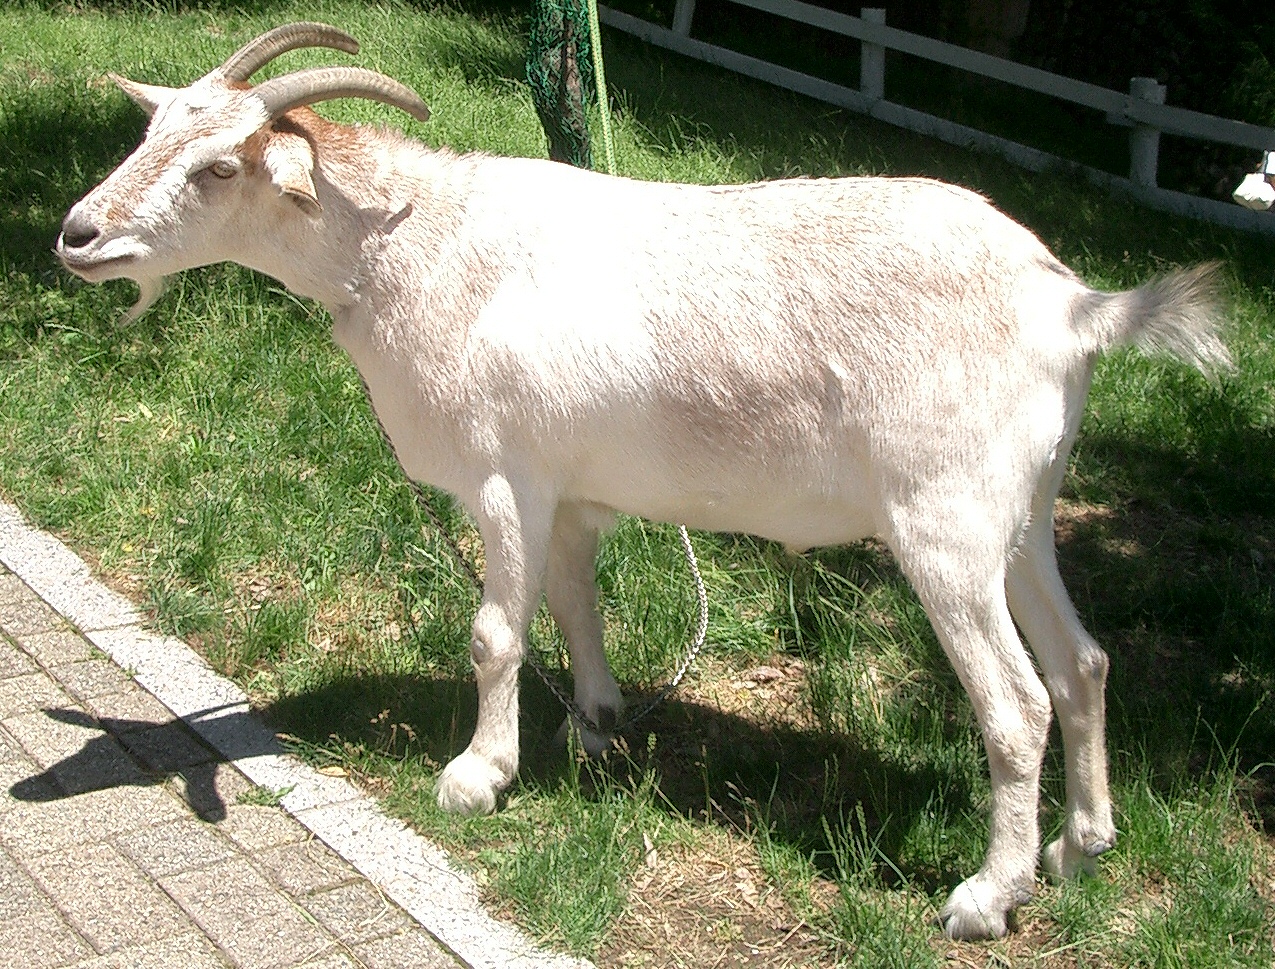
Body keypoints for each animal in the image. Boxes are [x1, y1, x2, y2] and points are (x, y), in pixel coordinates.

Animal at [54, 22, 1229, 943]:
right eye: (149, 134)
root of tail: (1071, 304)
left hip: (942, 524)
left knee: (1016, 703)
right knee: (1082, 664)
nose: (78, 234)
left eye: (220, 168)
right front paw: (596, 727)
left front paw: (477, 776)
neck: (414, 247)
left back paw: (989, 895)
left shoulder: (505, 478)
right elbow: (576, 602)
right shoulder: (572, 493)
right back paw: (1080, 848)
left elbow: (494, 632)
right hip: (1020, 516)